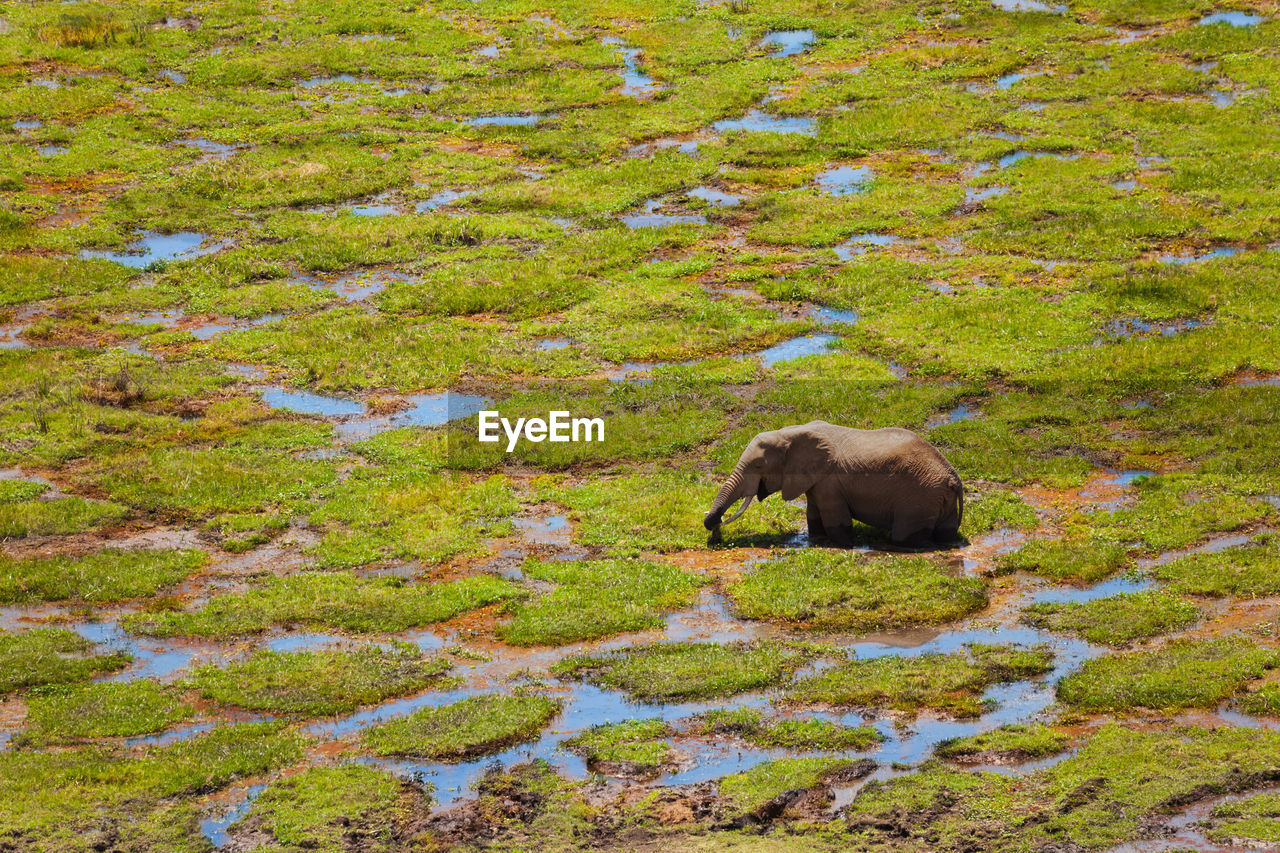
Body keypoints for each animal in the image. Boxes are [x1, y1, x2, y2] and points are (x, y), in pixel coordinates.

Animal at [706, 417, 962, 545]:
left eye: (758, 466)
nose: (714, 529)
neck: (790, 432)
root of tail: (953, 477)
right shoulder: (815, 479)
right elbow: (813, 512)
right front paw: (818, 540)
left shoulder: (830, 481)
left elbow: (835, 518)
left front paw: (843, 544)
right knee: (945, 533)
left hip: (920, 497)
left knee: (904, 536)